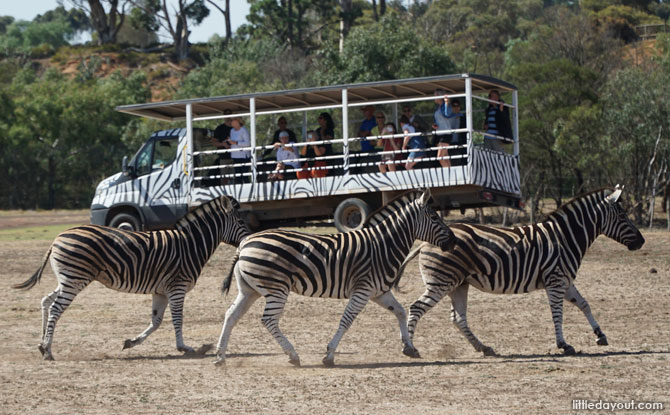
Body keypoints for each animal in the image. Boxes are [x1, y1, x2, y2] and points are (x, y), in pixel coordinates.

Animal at [11, 195, 249, 360]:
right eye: (240, 222)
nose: (248, 239)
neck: (191, 244)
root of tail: (57, 238)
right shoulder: (177, 287)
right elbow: (177, 318)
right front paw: (186, 347)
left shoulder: (161, 291)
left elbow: (156, 321)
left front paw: (131, 342)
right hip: (75, 279)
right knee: (55, 308)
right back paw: (48, 350)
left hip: (67, 278)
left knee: (46, 301)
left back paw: (42, 344)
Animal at [215, 188, 456, 368]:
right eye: (434, 217)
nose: (453, 242)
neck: (383, 246)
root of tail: (245, 243)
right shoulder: (363, 290)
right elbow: (346, 320)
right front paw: (329, 356)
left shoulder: (379, 292)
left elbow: (400, 311)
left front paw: (409, 347)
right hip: (277, 289)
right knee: (268, 320)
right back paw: (293, 355)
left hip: (249, 290)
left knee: (231, 315)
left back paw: (220, 356)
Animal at [400, 187, 644, 356]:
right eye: (622, 216)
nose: (641, 241)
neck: (565, 237)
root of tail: (424, 243)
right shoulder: (556, 280)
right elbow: (558, 313)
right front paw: (563, 344)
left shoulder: (565, 280)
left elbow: (584, 304)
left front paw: (600, 335)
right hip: (441, 282)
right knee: (417, 307)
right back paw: (409, 348)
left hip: (458, 284)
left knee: (458, 318)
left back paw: (484, 347)